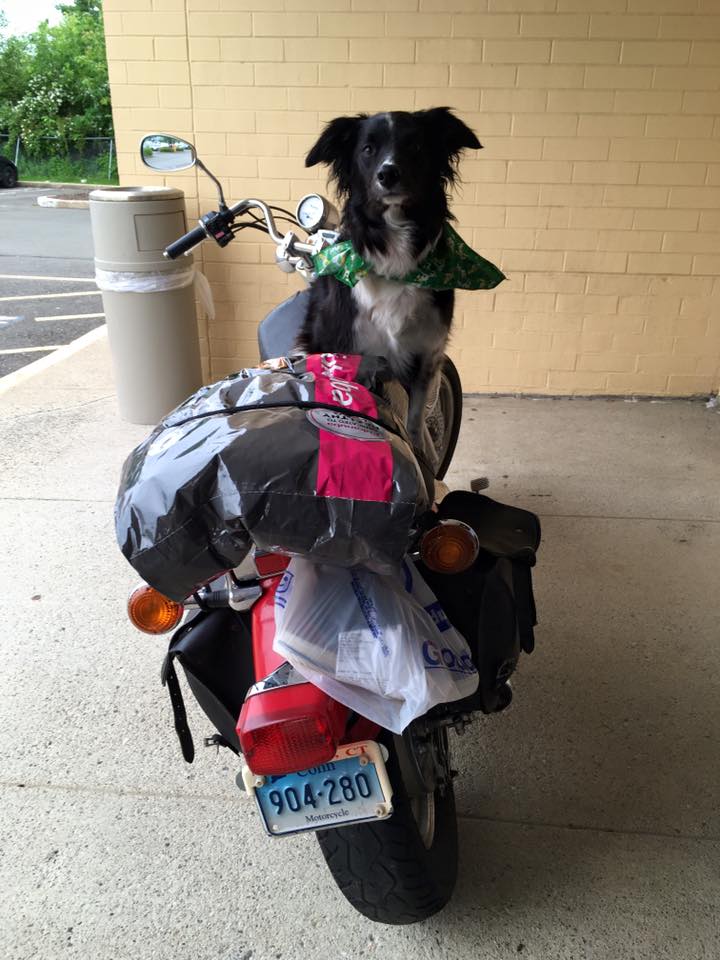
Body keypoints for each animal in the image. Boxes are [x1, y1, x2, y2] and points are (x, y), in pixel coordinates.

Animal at [298, 107, 484, 444]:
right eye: (367, 149)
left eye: (416, 146)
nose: (388, 174)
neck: (394, 258)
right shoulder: (345, 350)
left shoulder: (426, 354)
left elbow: (415, 422)